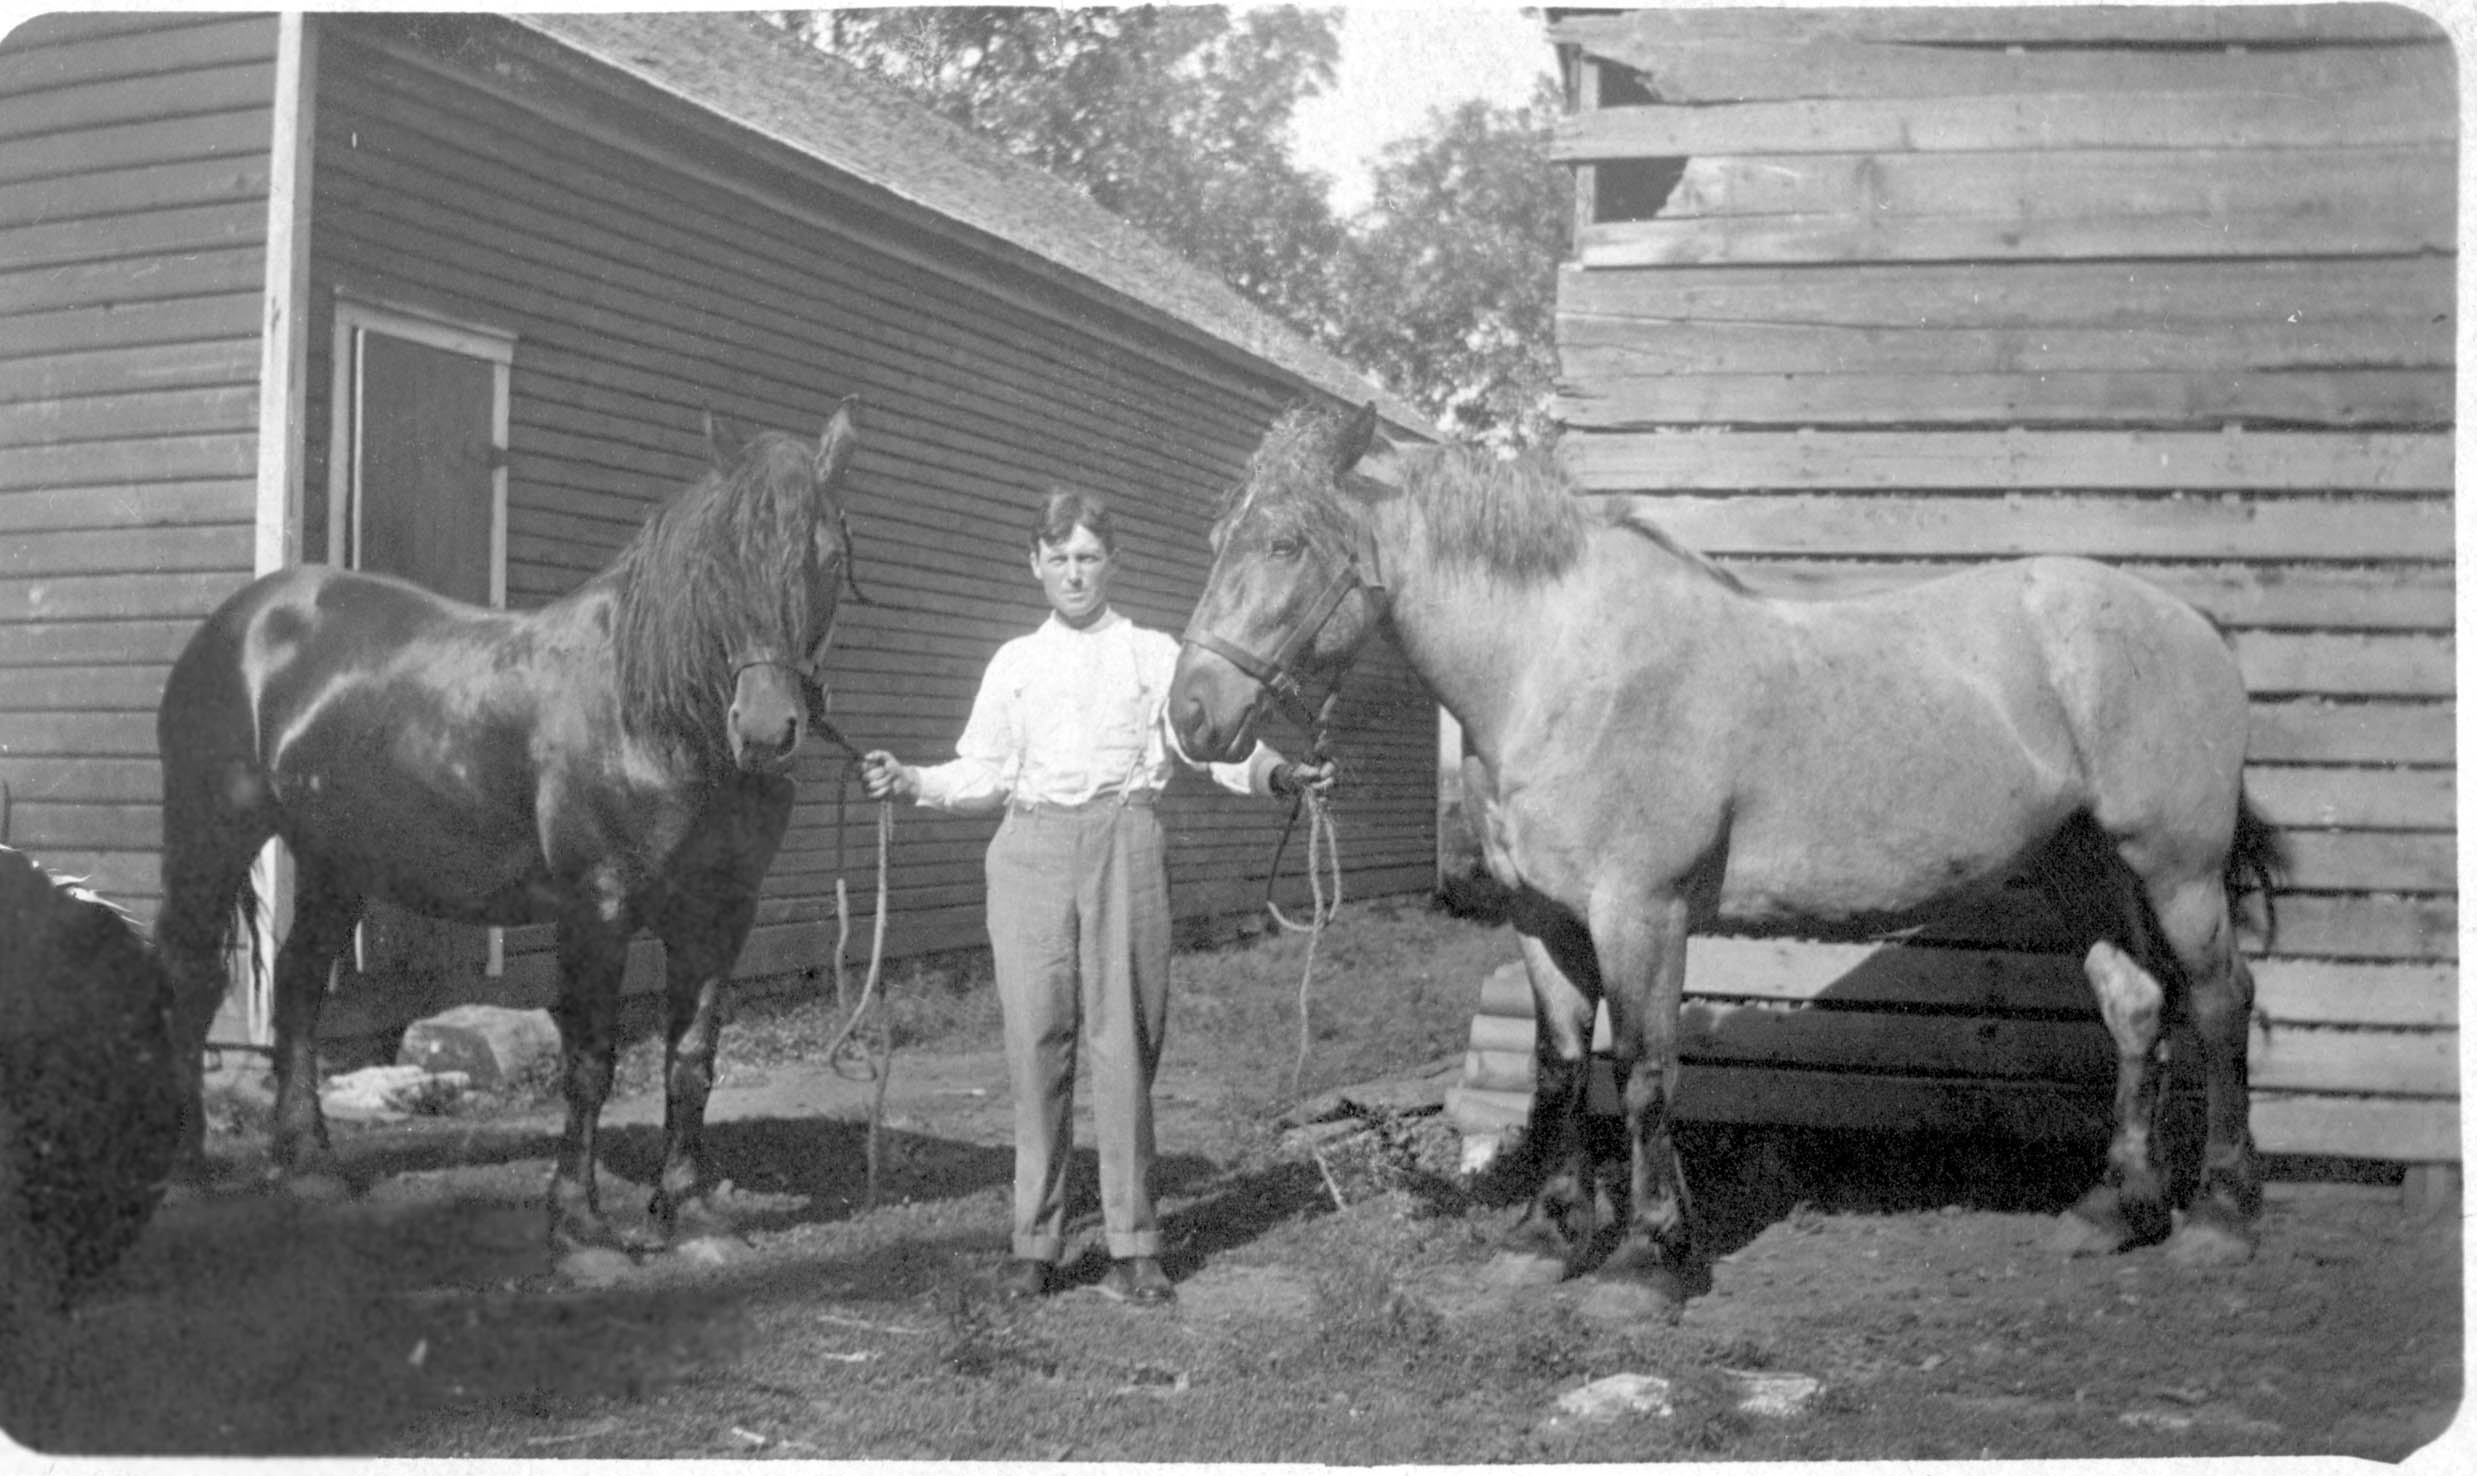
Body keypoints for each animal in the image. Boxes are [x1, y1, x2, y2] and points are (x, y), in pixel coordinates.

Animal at [159, 401, 861, 1243]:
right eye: (719, 564)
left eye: (828, 557)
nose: (763, 731)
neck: (650, 717)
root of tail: (244, 618)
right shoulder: (598, 910)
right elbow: (590, 1064)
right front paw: (578, 1219)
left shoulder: (721, 915)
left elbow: (691, 1060)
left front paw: (687, 1208)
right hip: (211, 835)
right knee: (192, 980)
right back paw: (187, 1173)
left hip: (337, 861)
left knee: (297, 987)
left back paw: (312, 1169)